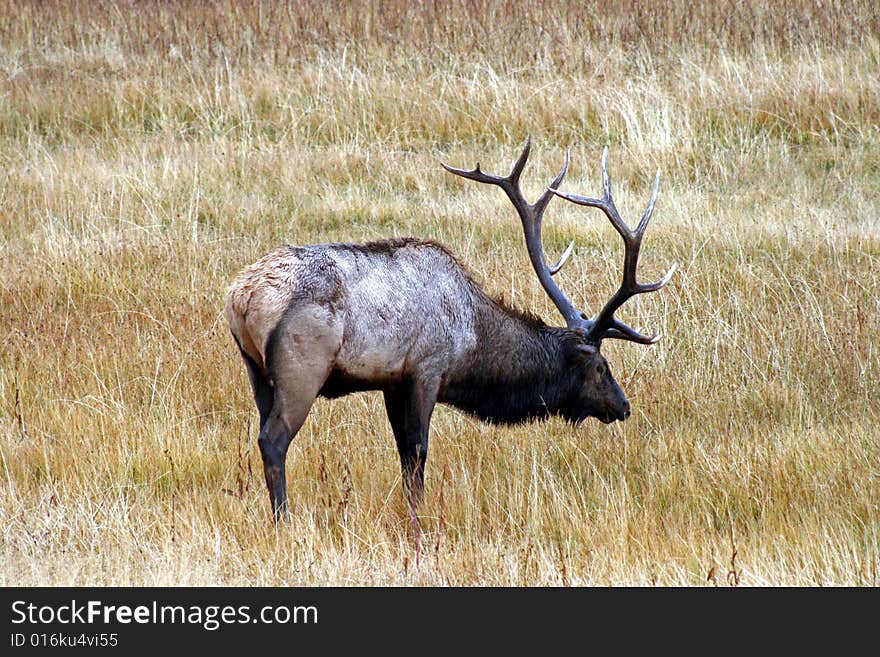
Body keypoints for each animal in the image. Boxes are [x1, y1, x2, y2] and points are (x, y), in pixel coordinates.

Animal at [222, 138, 672, 524]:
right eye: (600, 367)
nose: (623, 406)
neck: (473, 339)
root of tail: (242, 296)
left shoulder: (392, 380)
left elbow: (403, 453)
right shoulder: (428, 368)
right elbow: (418, 452)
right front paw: (416, 520)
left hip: (255, 370)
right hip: (302, 368)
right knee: (273, 439)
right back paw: (284, 519)